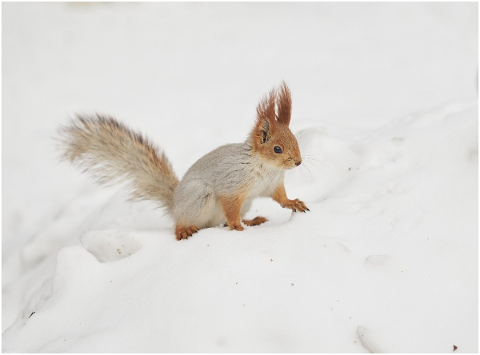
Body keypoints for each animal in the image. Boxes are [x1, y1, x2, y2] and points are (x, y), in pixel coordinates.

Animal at [58, 82, 310, 241]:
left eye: (295, 140)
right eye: (277, 149)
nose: (298, 162)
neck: (266, 168)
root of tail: (175, 205)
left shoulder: (273, 185)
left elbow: (281, 198)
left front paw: (294, 203)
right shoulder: (232, 185)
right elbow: (230, 208)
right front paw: (237, 226)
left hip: (242, 203)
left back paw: (252, 220)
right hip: (200, 196)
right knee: (184, 223)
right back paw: (185, 230)